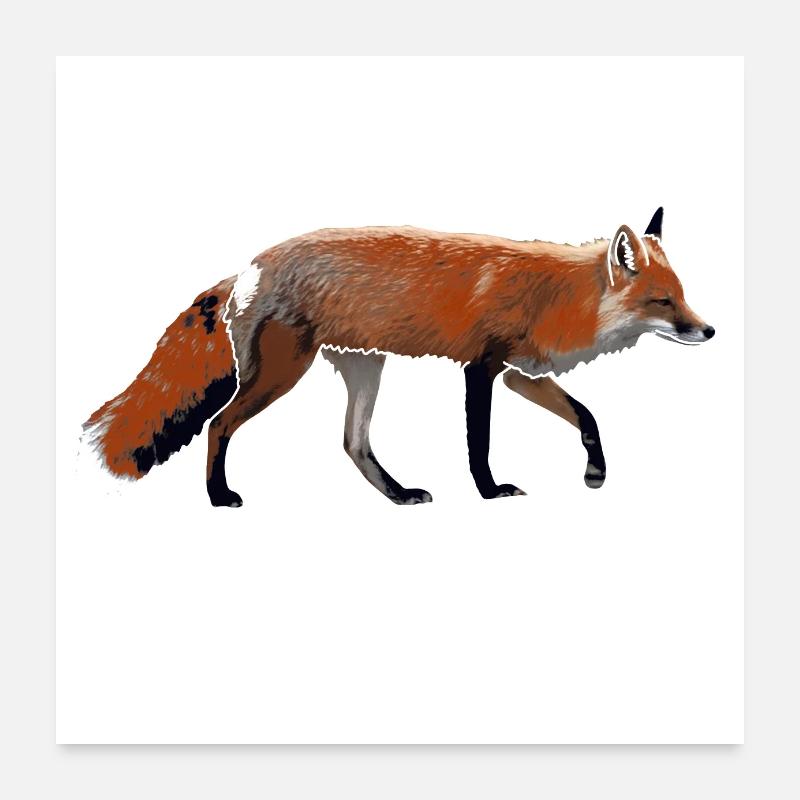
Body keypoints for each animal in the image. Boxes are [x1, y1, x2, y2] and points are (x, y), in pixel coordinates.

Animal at [83, 207, 714, 507]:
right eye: (663, 301)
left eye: (683, 294)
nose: (709, 330)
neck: (559, 297)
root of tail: (251, 266)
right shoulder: (482, 369)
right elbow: (479, 444)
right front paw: (489, 492)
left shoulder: (521, 375)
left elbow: (587, 417)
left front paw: (595, 472)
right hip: (282, 374)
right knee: (218, 426)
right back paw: (219, 497)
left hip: (365, 367)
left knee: (353, 444)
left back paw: (399, 494)